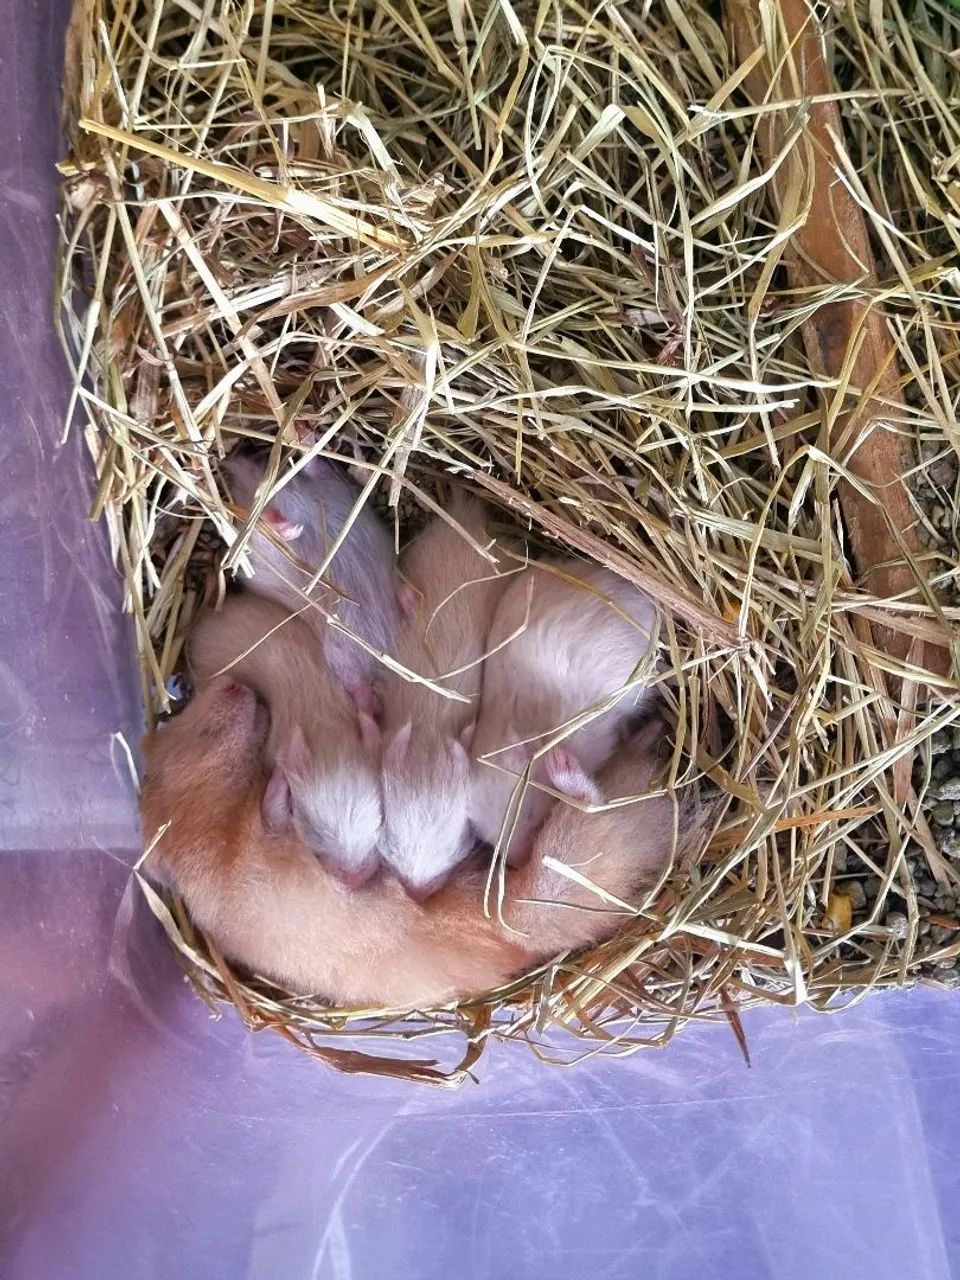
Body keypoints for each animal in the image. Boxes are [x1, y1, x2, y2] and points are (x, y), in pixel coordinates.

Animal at [140, 682, 705, 1007]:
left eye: (171, 720)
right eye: (200, 733)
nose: (236, 682)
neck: (221, 828)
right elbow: (281, 821)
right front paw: (282, 783)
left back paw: (644, 733)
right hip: (550, 880)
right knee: (582, 813)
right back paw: (571, 764)